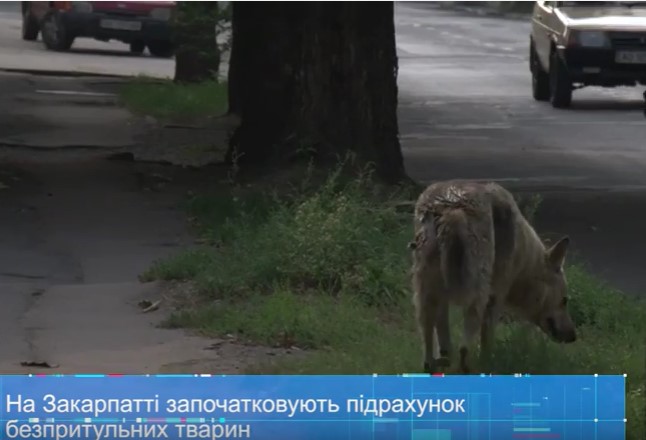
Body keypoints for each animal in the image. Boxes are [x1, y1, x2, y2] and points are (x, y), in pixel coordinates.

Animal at [410, 180, 576, 372]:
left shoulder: (442, 296)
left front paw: (445, 358)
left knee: (428, 337)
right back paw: (467, 367)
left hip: (424, 290)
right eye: (565, 300)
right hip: (476, 293)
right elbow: (486, 340)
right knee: (464, 347)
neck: (524, 255)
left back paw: (433, 365)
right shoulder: (496, 298)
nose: (574, 336)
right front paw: (487, 362)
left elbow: (443, 337)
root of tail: (452, 208)